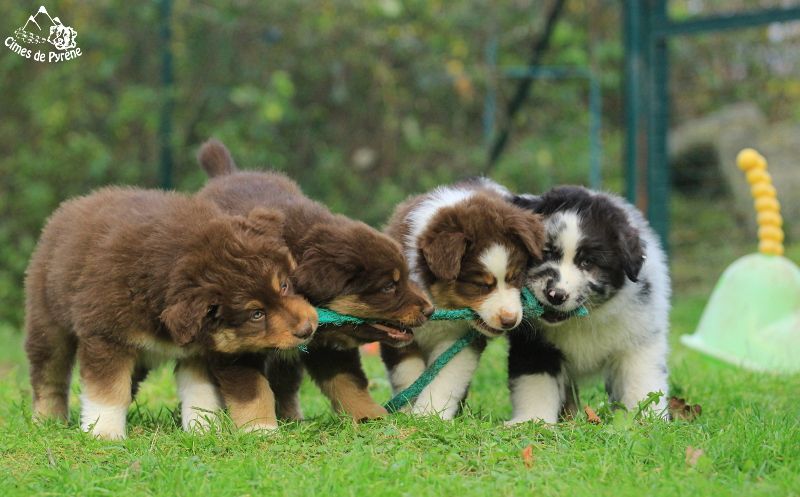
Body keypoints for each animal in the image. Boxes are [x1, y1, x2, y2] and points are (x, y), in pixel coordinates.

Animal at [22, 187, 316, 438]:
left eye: (284, 285)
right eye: (256, 314)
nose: (308, 329)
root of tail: (70, 206)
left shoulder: (198, 352)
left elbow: (200, 392)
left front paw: (204, 430)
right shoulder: (106, 337)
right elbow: (108, 391)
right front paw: (104, 434)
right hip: (48, 321)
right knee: (49, 375)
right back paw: (47, 420)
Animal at [198, 139, 434, 418]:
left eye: (406, 277)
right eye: (388, 287)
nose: (430, 310)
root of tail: (228, 174)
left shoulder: (327, 347)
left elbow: (348, 381)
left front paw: (370, 417)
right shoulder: (235, 343)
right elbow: (252, 390)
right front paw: (259, 426)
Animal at [506, 184, 668, 420]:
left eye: (587, 262)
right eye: (545, 252)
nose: (555, 295)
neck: (583, 319)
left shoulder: (639, 337)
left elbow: (642, 380)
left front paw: (647, 419)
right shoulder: (533, 343)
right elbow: (536, 382)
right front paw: (532, 420)